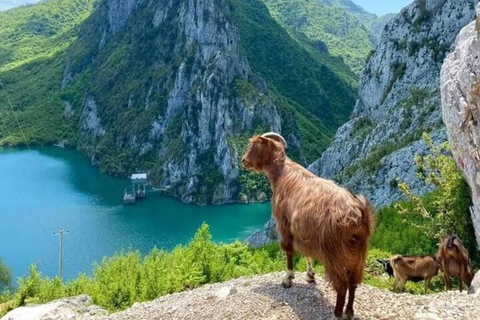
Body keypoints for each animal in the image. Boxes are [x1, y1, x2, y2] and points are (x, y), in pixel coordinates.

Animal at [242, 133, 374, 320]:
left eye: (255, 145)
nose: (243, 160)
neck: (282, 173)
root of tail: (358, 214)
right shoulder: (304, 232)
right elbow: (306, 253)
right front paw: (310, 275)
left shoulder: (284, 224)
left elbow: (288, 250)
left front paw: (288, 279)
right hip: (359, 256)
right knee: (353, 283)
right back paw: (349, 312)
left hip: (335, 255)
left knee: (342, 286)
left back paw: (337, 314)